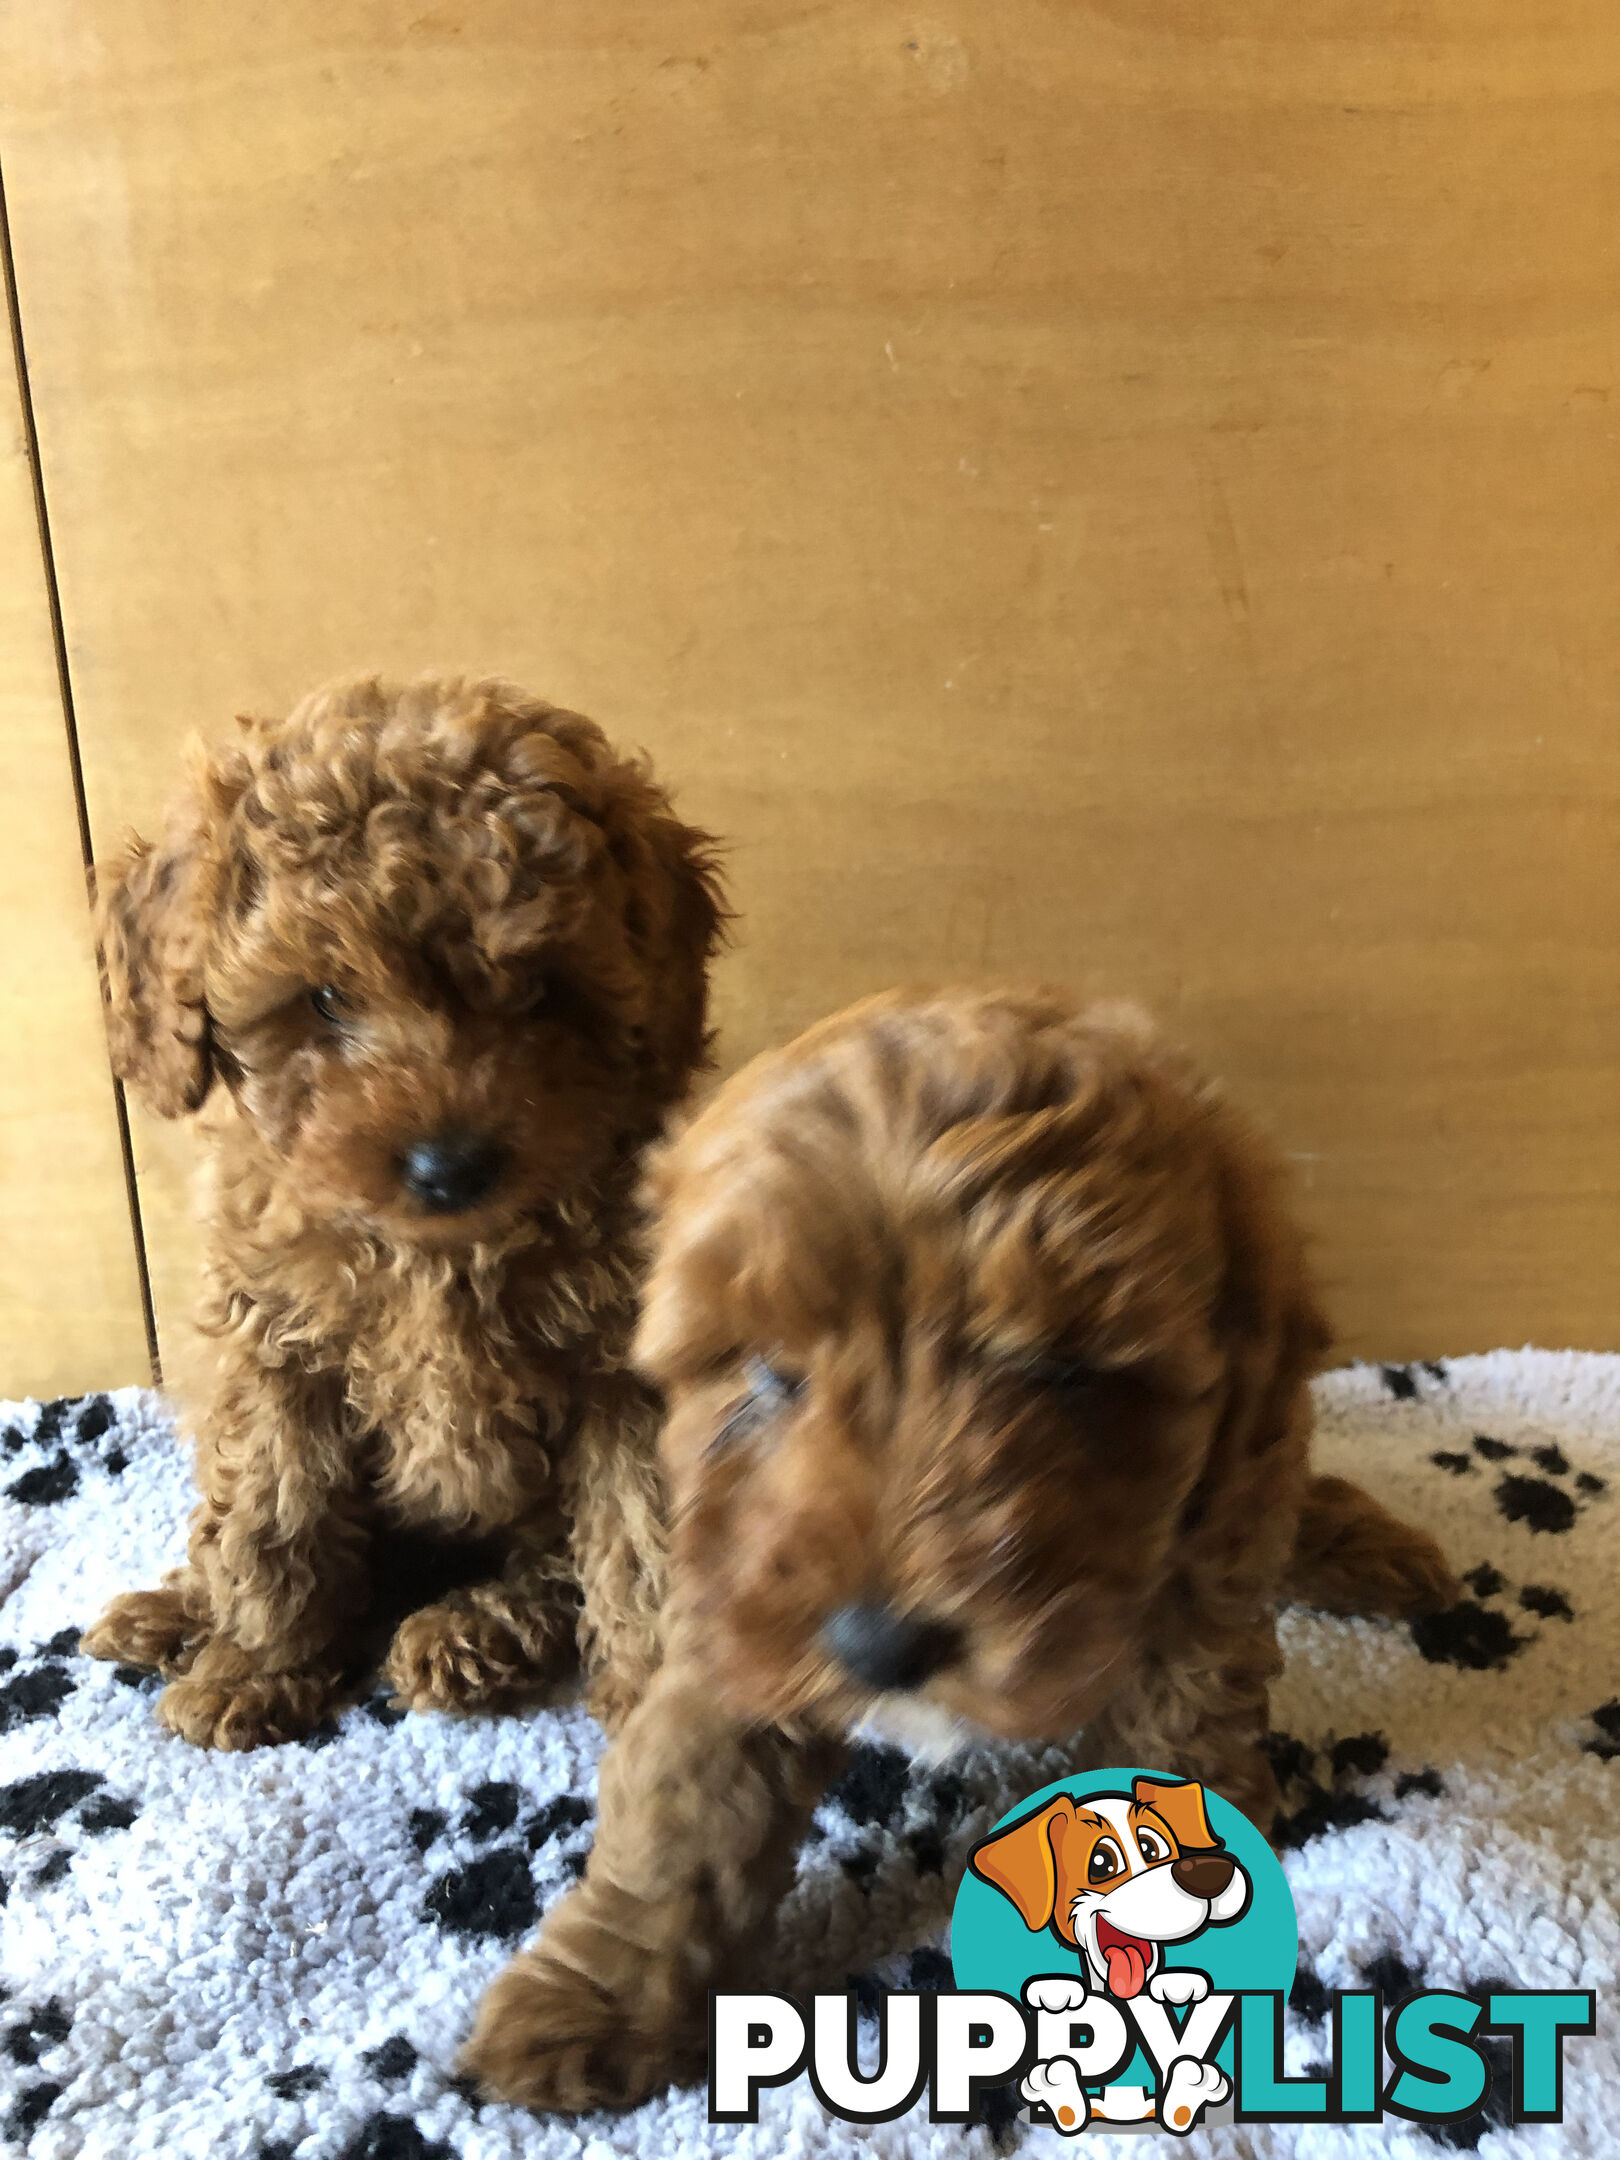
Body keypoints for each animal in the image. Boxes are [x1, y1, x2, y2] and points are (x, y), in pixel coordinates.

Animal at [81, 673, 721, 1753]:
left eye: (540, 993)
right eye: (327, 997)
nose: (447, 1164)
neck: (437, 1252)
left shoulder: (622, 1372)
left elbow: (639, 1537)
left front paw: (659, 1708)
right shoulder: (278, 1353)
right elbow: (273, 1517)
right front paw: (255, 1668)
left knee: (550, 1566)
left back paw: (469, 1631)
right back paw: (175, 1615)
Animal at [466, 980, 1460, 2108]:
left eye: (1065, 1371)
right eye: (764, 1373)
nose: (879, 1647)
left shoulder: (1190, 1559)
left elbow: (1185, 1702)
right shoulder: (732, 1589)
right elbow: (687, 1792)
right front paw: (594, 1993)